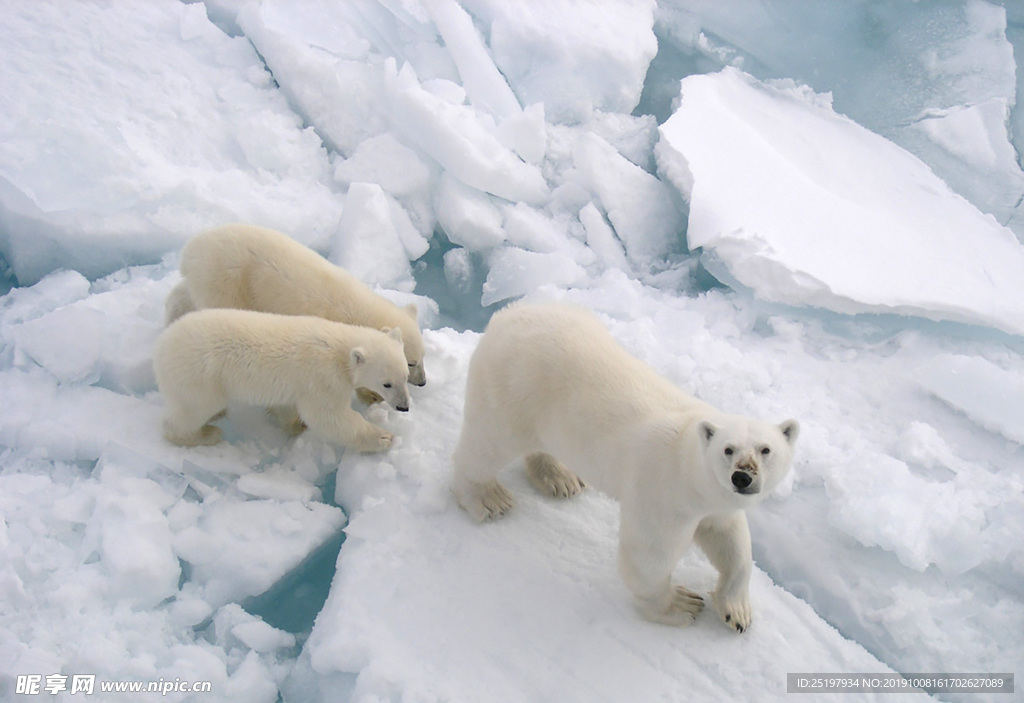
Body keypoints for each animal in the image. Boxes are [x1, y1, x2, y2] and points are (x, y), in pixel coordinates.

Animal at [165, 224, 425, 384]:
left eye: (423, 356)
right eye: (411, 362)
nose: (422, 382)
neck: (358, 307)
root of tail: (190, 250)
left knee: (183, 294)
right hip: (227, 279)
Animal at [454, 302, 798, 634]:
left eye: (765, 449)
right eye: (728, 449)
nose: (742, 477)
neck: (686, 460)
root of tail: (506, 314)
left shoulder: (716, 503)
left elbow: (731, 542)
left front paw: (737, 611)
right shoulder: (662, 493)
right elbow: (649, 557)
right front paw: (681, 604)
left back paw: (560, 478)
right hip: (513, 389)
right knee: (488, 444)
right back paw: (488, 497)